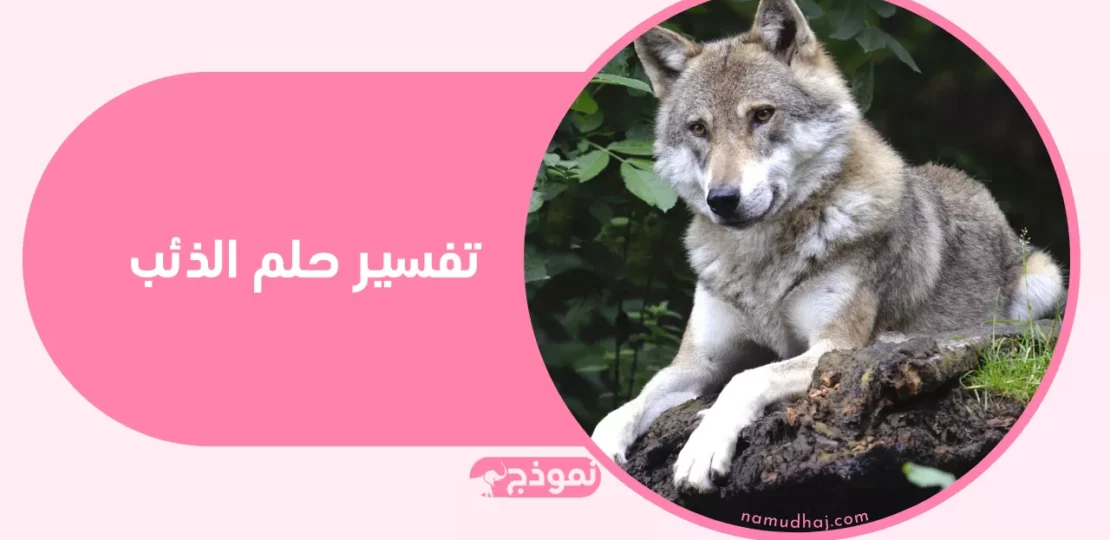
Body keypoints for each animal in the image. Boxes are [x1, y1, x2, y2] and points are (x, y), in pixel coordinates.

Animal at [590, 0, 1066, 493]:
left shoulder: (830, 347)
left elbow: (745, 379)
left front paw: (702, 447)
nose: (722, 199)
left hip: (1043, 281)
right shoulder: (697, 364)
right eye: (699, 128)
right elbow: (629, 403)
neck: (762, 262)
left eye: (762, 115)